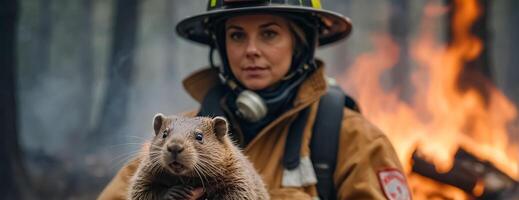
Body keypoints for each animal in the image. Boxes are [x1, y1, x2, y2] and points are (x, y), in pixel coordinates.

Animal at [128, 114, 270, 200]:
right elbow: (140, 191)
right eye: (164, 133)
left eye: (199, 136)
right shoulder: (146, 172)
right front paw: (175, 192)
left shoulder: (238, 177)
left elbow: (240, 194)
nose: (175, 147)